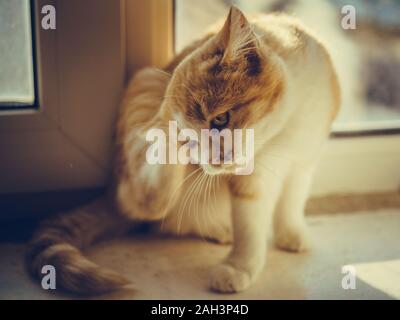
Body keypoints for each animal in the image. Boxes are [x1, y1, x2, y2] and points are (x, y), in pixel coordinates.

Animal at [27, 5, 340, 296]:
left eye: (220, 119)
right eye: (189, 139)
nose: (213, 161)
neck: (285, 131)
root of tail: (111, 188)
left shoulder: (303, 160)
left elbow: (292, 200)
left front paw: (291, 233)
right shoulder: (252, 181)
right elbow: (249, 225)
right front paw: (240, 266)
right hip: (145, 85)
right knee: (148, 202)